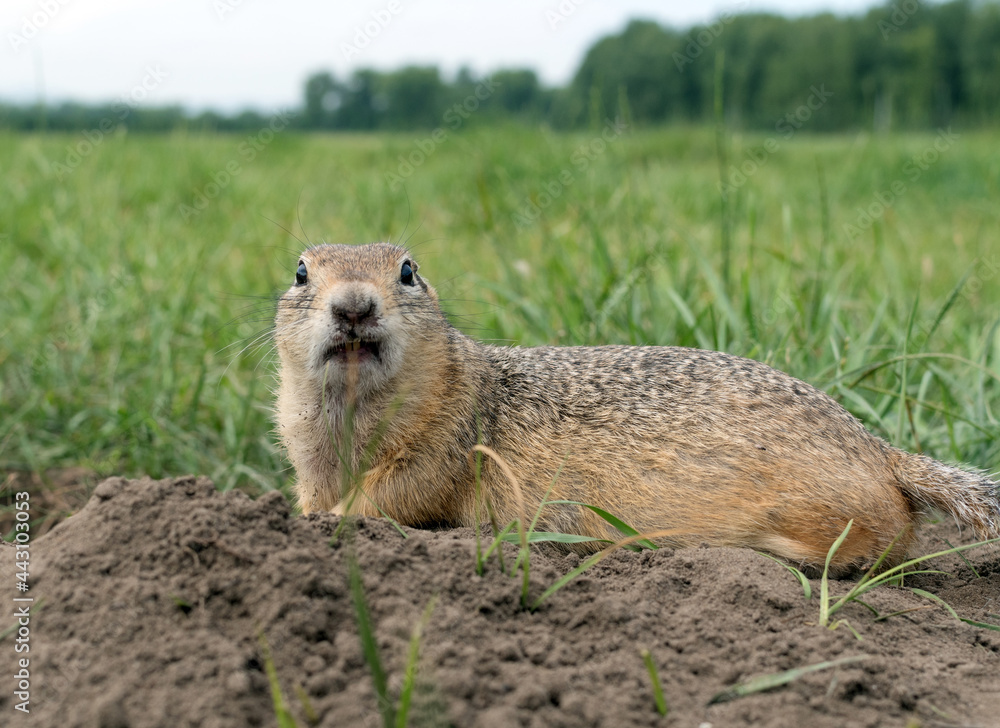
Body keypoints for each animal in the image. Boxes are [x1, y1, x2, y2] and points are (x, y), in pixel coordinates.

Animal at [274, 242, 1000, 572]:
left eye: (407, 271)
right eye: (301, 271)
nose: (354, 305)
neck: (352, 416)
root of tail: (883, 451)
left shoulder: (449, 438)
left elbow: (397, 494)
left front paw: (335, 519)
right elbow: (319, 495)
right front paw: (304, 515)